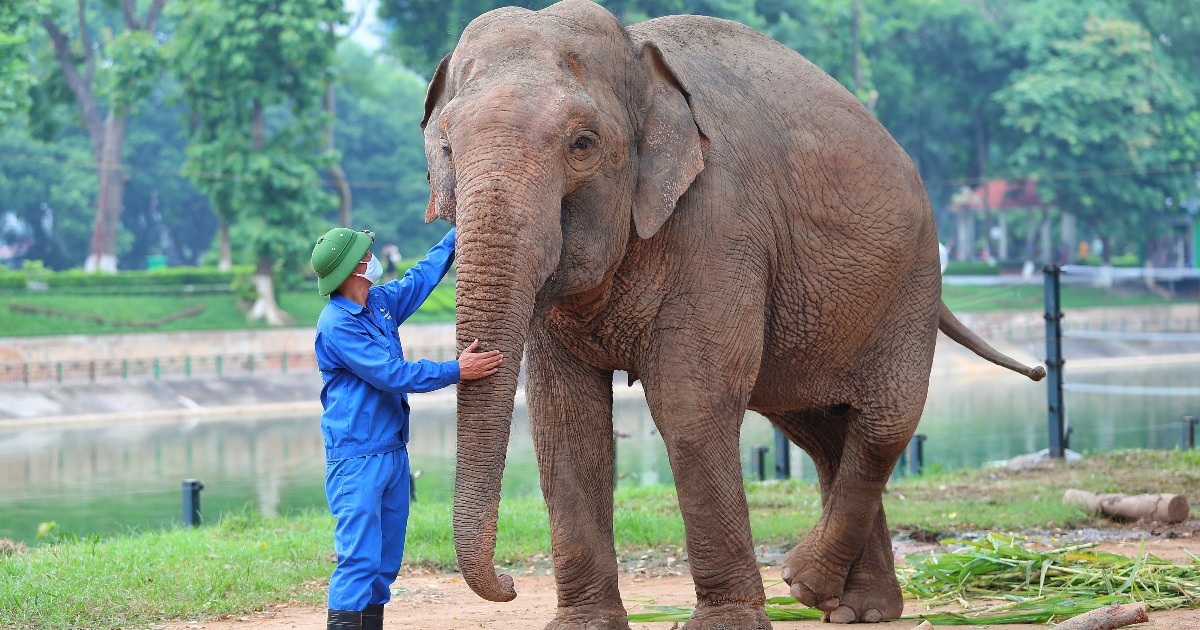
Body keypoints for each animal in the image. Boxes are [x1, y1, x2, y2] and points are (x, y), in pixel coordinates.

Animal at [420, 2, 1041, 624]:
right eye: (446, 147)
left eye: (583, 143)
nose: (508, 584)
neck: (636, 55)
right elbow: (564, 416)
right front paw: (583, 626)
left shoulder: (722, 223)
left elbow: (691, 402)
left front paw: (725, 624)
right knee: (819, 429)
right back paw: (855, 609)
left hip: (911, 280)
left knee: (883, 424)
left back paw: (807, 584)